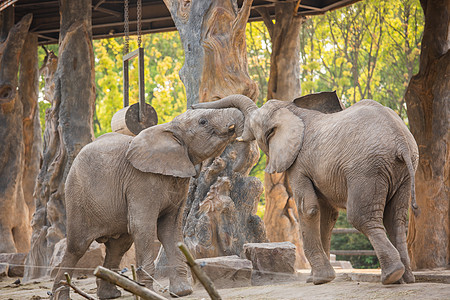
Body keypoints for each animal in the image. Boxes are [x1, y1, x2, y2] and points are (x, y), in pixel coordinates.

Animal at [52, 96, 250, 300]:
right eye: (203, 122)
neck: (169, 128)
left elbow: (170, 229)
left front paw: (182, 292)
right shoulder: (141, 181)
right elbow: (143, 226)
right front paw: (148, 293)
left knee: (119, 246)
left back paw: (111, 294)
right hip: (77, 195)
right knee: (77, 247)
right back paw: (62, 295)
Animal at [193, 92, 418, 286]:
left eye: (255, 124)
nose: (194, 106)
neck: (292, 110)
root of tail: (401, 142)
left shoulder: (298, 164)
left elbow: (307, 208)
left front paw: (320, 279)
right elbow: (327, 216)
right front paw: (317, 278)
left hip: (367, 169)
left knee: (361, 217)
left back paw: (391, 276)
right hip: (402, 173)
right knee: (396, 220)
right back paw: (405, 279)